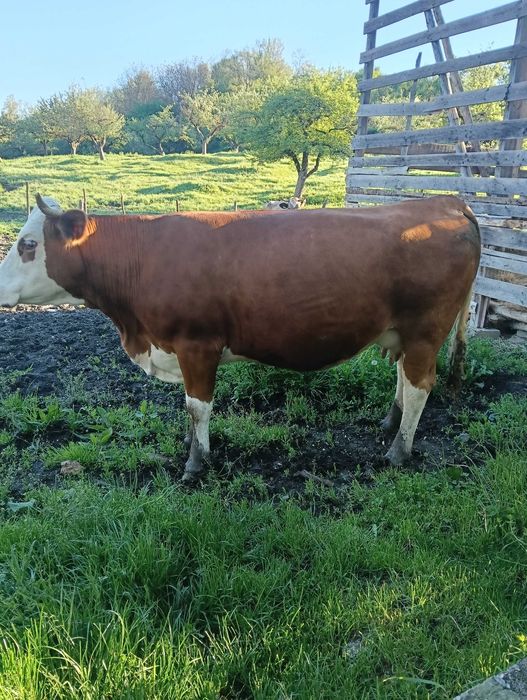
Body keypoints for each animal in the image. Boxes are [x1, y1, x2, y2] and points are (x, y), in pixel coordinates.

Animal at [0, 194, 480, 482]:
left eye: (28, 245)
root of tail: (445, 201)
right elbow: (190, 406)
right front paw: (191, 446)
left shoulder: (197, 344)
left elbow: (197, 405)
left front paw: (196, 462)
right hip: (405, 333)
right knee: (404, 380)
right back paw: (389, 423)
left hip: (426, 329)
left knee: (420, 387)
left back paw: (399, 450)